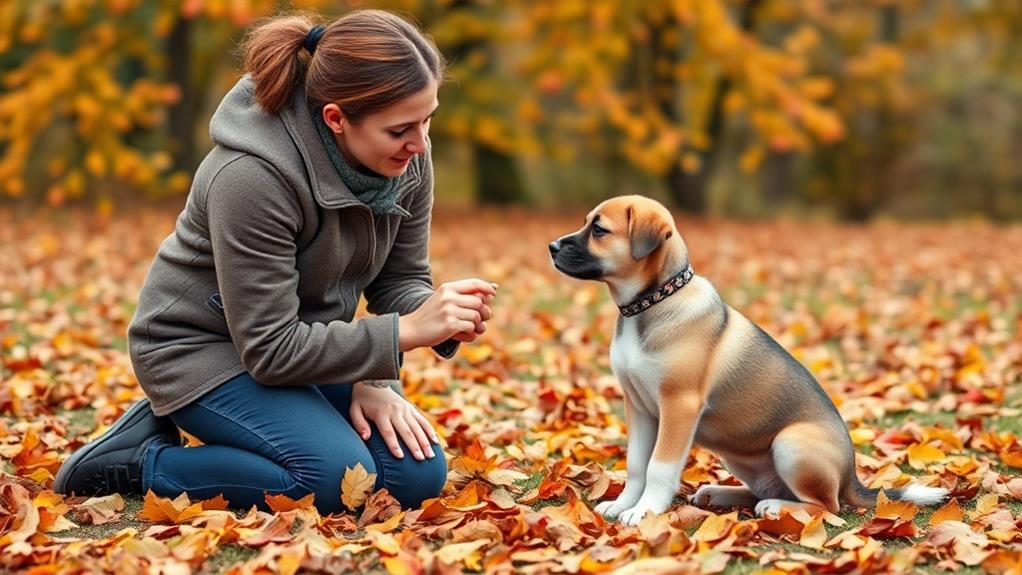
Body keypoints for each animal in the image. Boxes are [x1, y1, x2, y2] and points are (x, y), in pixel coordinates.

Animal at [551, 197, 948, 526]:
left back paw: (776, 508)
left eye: (599, 230)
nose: (552, 246)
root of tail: (851, 478)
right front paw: (623, 504)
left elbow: (659, 467)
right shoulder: (638, 406)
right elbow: (636, 464)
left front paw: (645, 510)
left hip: (792, 443)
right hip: (741, 458)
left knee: (826, 505)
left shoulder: (678, 407)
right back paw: (719, 493)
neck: (650, 305)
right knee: (765, 489)